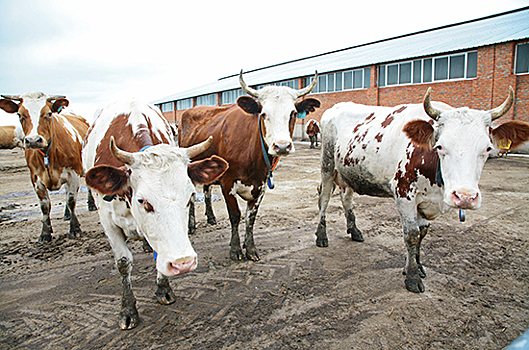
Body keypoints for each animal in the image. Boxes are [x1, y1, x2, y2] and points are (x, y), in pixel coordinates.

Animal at [0, 91, 97, 242]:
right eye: (20, 115)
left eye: (49, 114)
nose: (33, 140)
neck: (48, 154)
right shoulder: (35, 178)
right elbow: (45, 205)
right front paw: (45, 233)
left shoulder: (73, 173)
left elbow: (71, 200)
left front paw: (75, 229)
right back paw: (66, 214)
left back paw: (91, 205)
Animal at [83, 98, 228, 328]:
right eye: (142, 200)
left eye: (190, 197)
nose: (183, 263)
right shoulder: (108, 222)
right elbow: (123, 262)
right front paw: (128, 309)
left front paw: (164, 289)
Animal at [179, 71, 320, 262]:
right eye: (264, 114)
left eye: (293, 113)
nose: (282, 146)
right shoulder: (227, 183)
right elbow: (235, 216)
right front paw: (236, 249)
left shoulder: (261, 186)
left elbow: (250, 218)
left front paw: (250, 247)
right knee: (193, 197)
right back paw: (192, 225)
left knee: (207, 191)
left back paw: (211, 217)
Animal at [314, 87, 528, 292]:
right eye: (440, 146)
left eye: (487, 148)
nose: (465, 197)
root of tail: (336, 107)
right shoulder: (404, 194)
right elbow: (412, 235)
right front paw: (412, 276)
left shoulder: (427, 201)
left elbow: (422, 234)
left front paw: (419, 265)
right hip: (327, 165)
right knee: (324, 200)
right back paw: (322, 236)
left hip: (349, 172)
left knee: (346, 198)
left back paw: (354, 230)